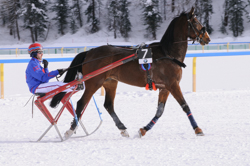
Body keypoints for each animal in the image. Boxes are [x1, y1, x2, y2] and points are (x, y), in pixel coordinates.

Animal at [53, 7, 211, 138]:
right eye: (195, 21)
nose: (207, 37)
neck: (167, 53)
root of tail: (89, 52)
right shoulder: (173, 84)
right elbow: (185, 106)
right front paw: (198, 129)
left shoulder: (164, 87)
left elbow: (159, 111)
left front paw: (143, 130)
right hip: (94, 82)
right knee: (81, 103)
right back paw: (70, 130)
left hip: (110, 82)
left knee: (109, 105)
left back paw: (122, 128)